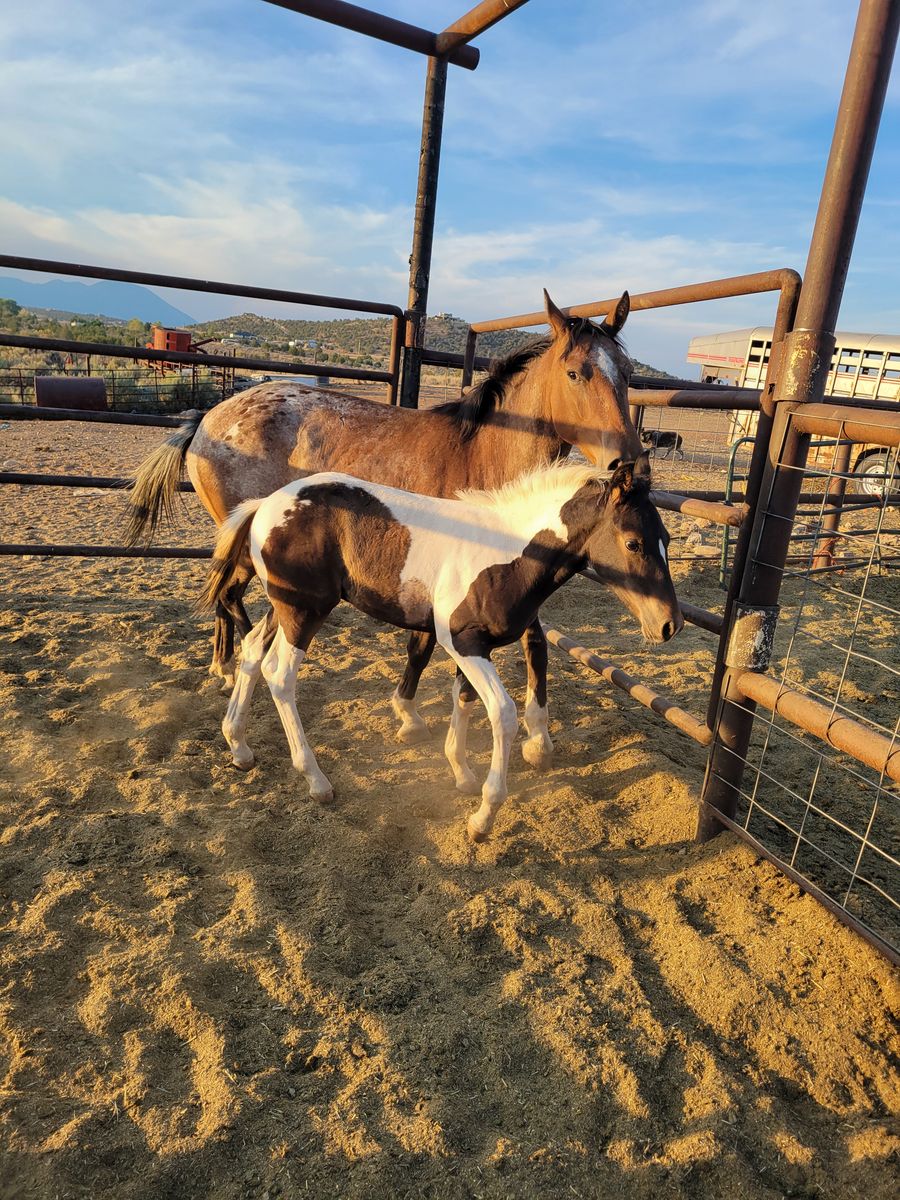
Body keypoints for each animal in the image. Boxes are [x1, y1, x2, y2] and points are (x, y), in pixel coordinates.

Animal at [129, 290, 642, 770]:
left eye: (627, 371)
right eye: (575, 373)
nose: (627, 461)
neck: (481, 455)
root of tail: (207, 419)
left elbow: (534, 644)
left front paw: (538, 739)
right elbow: (424, 644)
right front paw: (409, 715)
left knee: (227, 598)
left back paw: (227, 670)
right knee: (233, 599)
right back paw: (236, 668)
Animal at [199, 453, 682, 842]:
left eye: (667, 539)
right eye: (634, 543)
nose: (668, 625)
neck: (504, 553)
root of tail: (266, 504)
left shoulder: (475, 645)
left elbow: (462, 700)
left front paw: (462, 774)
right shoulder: (463, 643)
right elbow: (502, 714)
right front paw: (483, 817)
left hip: (284, 608)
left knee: (252, 653)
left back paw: (239, 747)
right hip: (304, 612)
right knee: (280, 676)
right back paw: (316, 780)